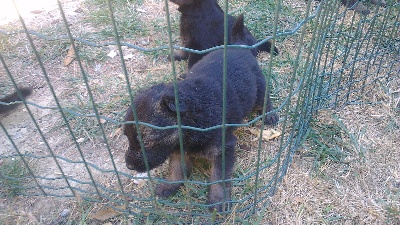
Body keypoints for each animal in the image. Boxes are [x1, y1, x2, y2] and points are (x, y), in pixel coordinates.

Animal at [124, 14, 278, 213]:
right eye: (127, 138)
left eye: (147, 142)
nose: (128, 166)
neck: (194, 116)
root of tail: (236, 47)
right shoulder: (177, 149)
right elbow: (176, 169)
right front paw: (169, 185)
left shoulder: (223, 148)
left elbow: (219, 177)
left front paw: (218, 200)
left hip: (257, 88)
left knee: (265, 99)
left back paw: (269, 114)